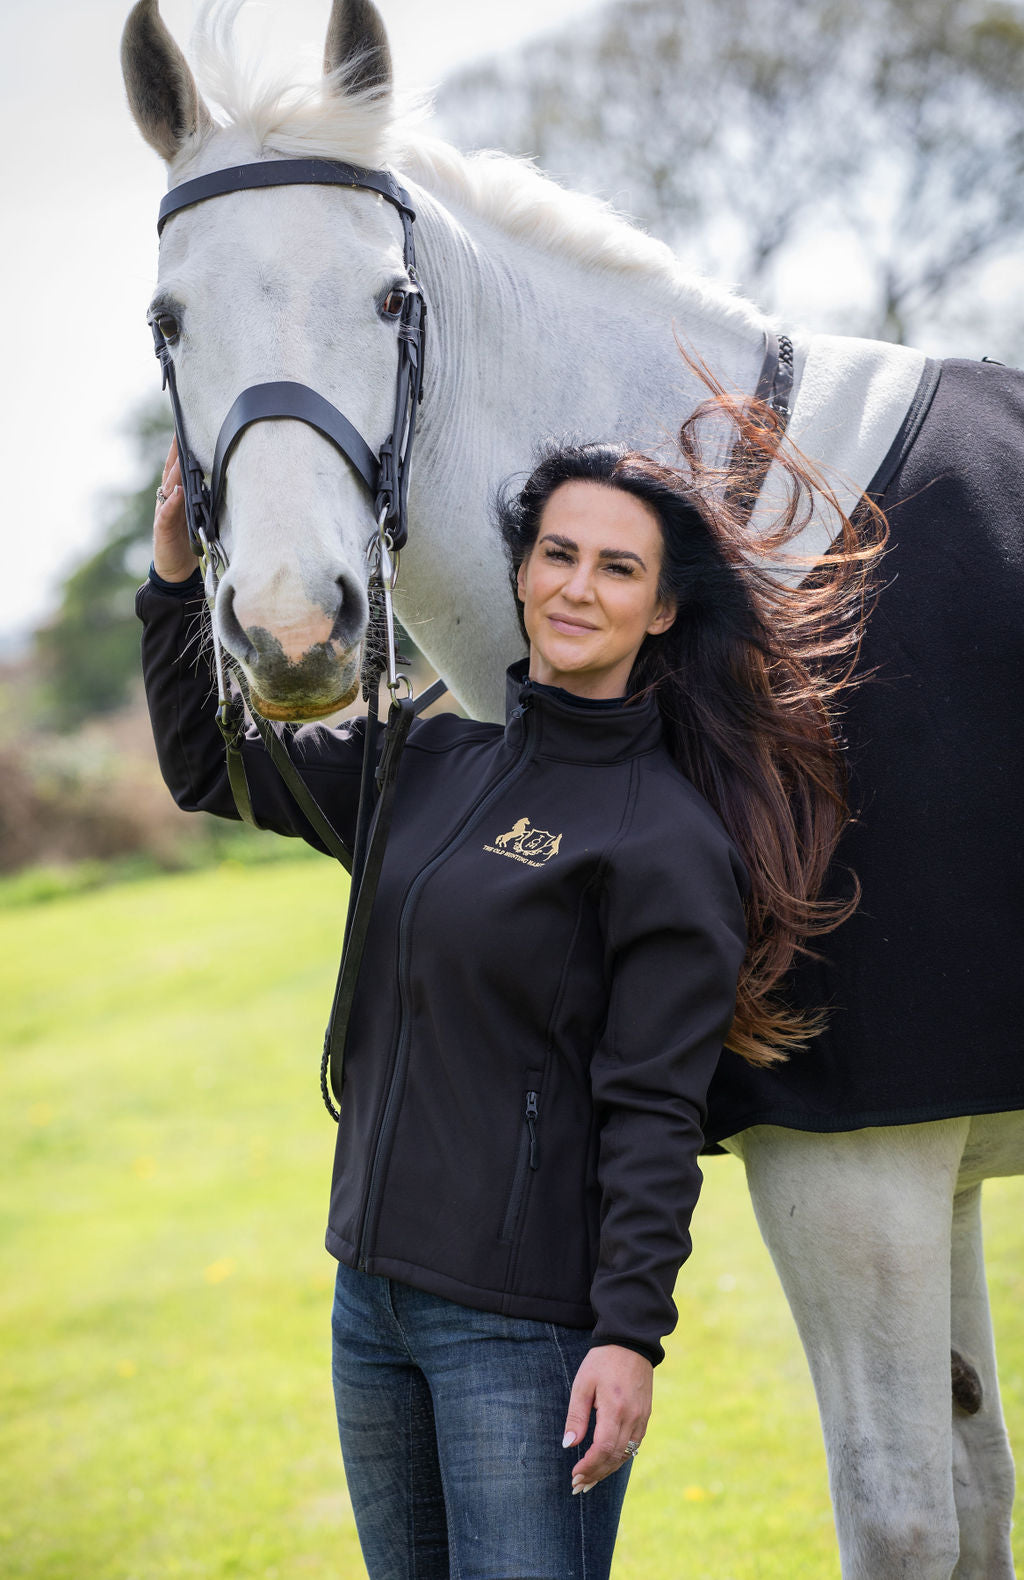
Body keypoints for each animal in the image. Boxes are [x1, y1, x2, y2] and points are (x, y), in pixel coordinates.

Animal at [121, 2, 1024, 1574]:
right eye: (172, 320)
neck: (781, 574)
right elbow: (977, 1495)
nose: (294, 630)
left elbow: (905, 1517)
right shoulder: (942, 1160)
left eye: (391, 299)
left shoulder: (861, 1166)